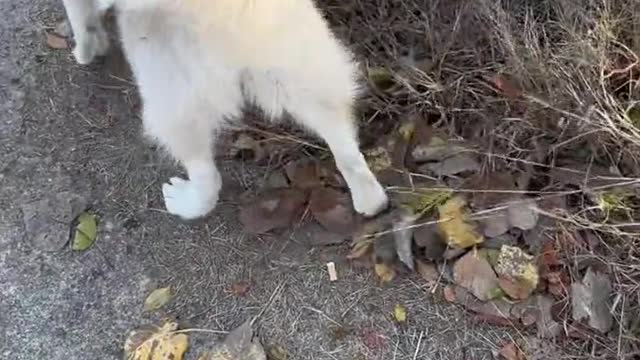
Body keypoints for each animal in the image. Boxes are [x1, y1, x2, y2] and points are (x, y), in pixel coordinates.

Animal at [62, 0, 388, 221]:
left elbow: (79, 17)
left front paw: (85, 49)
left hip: (169, 84)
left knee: (206, 174)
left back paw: (188, 201)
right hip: (301, 63)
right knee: (345, 147)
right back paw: (369, 198)